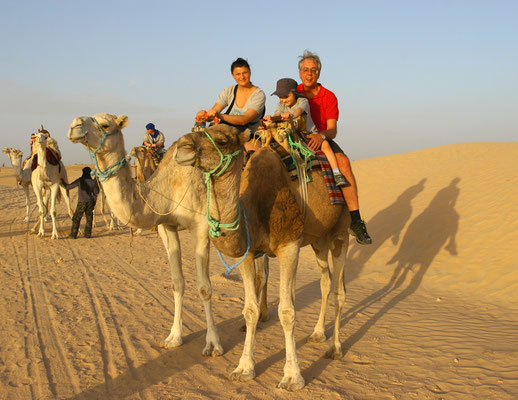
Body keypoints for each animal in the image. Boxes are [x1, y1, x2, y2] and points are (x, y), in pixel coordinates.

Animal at [67, 112, 223, 356]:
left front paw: (213, 344)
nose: (74, 126)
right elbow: (177, 282)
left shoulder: (200, 228)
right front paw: (173, 338)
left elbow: (204, 288)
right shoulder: (167, 226)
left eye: (105, 124)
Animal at [177, 123, 352, 390]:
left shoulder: (289, 245)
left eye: (223, 139)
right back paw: (318, 333)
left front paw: (292, 377)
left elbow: (287, 312)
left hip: (340, 231)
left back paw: (335, 348)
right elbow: (250, 310)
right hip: (318, 240)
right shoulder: (248, 252)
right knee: (325, 281)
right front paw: (243, 368)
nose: (181, 147)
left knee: (339, 290)